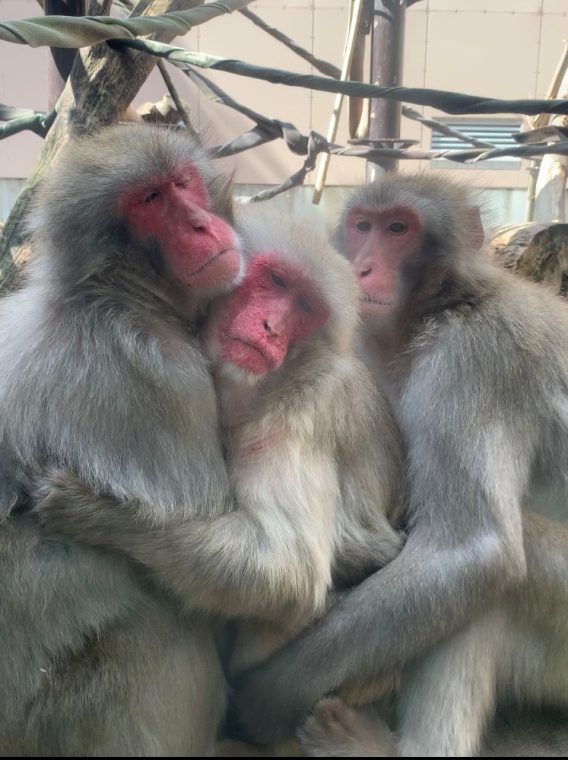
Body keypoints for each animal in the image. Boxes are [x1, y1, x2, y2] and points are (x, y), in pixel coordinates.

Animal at [0, 123, 242, 756]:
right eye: (150, 202)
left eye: (182, 184)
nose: (200, 224)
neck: (114, 296)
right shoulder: (160, 383)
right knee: (161, 629)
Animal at [229, 175, 568, 756]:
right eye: (363, 225)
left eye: (398, 229)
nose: (362, 267)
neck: (438, 309)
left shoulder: (476, 356)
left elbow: (469, 550)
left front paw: (263, 698)